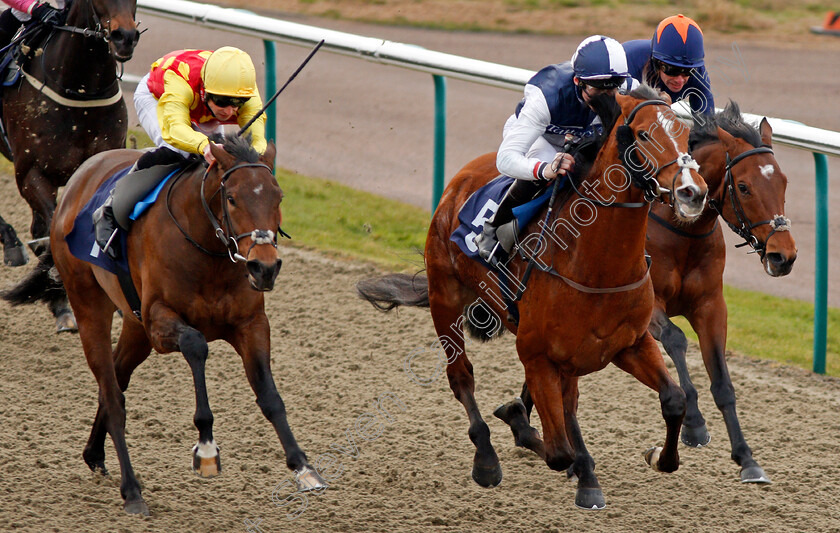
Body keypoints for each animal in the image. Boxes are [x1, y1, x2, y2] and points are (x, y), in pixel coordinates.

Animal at [1, 135, 326, 512]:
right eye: (232, 198)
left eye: (278, 197)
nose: (265, 267)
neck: (209, 251)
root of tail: (79, 179)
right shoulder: (159, 321)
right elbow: (196, 345)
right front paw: (206, 448)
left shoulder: (251, 323)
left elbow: (269, 394)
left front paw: (304, 467)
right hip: (89, 303)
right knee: (112, 393)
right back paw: (132, 490)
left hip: (134, 325)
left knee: (116, 377)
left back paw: (94, 454)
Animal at [356, 86, 708, 508]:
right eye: (642, 134)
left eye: (686, 137)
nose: (693, 193)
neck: (595, 265)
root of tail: (459, 181)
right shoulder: (538, 355)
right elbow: (558, 452)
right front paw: (532, 434)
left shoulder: (630, 344)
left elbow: (673, 399)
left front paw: (659, 456)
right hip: (445, 299)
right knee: (461, 378)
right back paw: (487, 459)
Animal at [496, 101, 796, 486]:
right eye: (743, 186)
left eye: (783, 182)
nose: (783, 256)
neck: (682, 231)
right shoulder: (651, 308)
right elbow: (677, 339)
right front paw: (695, 426)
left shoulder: (711, 304)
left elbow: (722, 381)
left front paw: (747, 458)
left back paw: (523, 417)